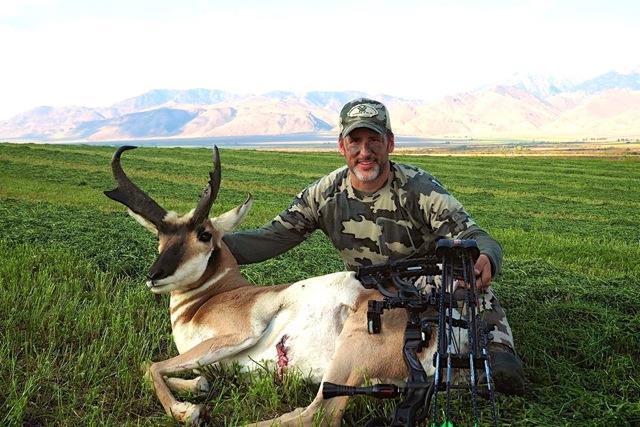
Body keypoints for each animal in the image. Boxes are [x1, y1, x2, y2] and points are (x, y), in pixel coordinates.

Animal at [104, 146, 441, 426]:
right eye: (161, 236)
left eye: (204, 234)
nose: (154, 275)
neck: (215, 296)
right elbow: (158, 368)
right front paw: (197, 387)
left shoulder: (236, 335)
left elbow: (151, 366)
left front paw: (187, 411)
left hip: (353, 345)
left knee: (320, 415)